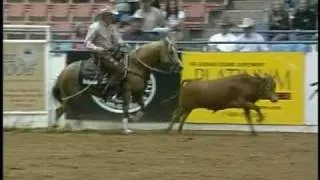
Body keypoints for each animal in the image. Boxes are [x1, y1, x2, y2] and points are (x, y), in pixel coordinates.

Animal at [52, 37, 182, 132]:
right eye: (171, 52)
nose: (180, 67)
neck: (135, 66)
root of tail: (64, 71)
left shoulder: (138, 93)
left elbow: (143, 106)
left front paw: (134, 118)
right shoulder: (127, 91)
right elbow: (126, 107)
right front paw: (126, 128)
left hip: (74, 96)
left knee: (67, 109)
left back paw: (76, 126)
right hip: (71, 95)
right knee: (60, 110)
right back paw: (56, 127)